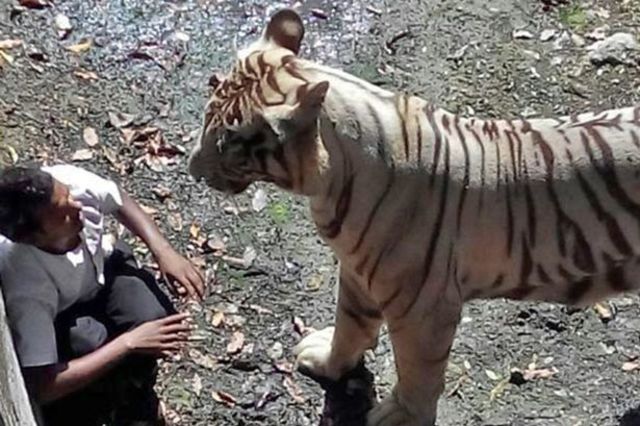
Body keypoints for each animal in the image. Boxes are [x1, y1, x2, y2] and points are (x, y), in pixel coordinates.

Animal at [188, 8, 640, 426]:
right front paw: (328, 361)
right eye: (207, 116)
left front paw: (401, 415)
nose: (192, 169)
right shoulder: (357, 273)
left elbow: (418, 369)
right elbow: (350, 326)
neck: (330, 183)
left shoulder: (423, 306)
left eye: (228, 142)